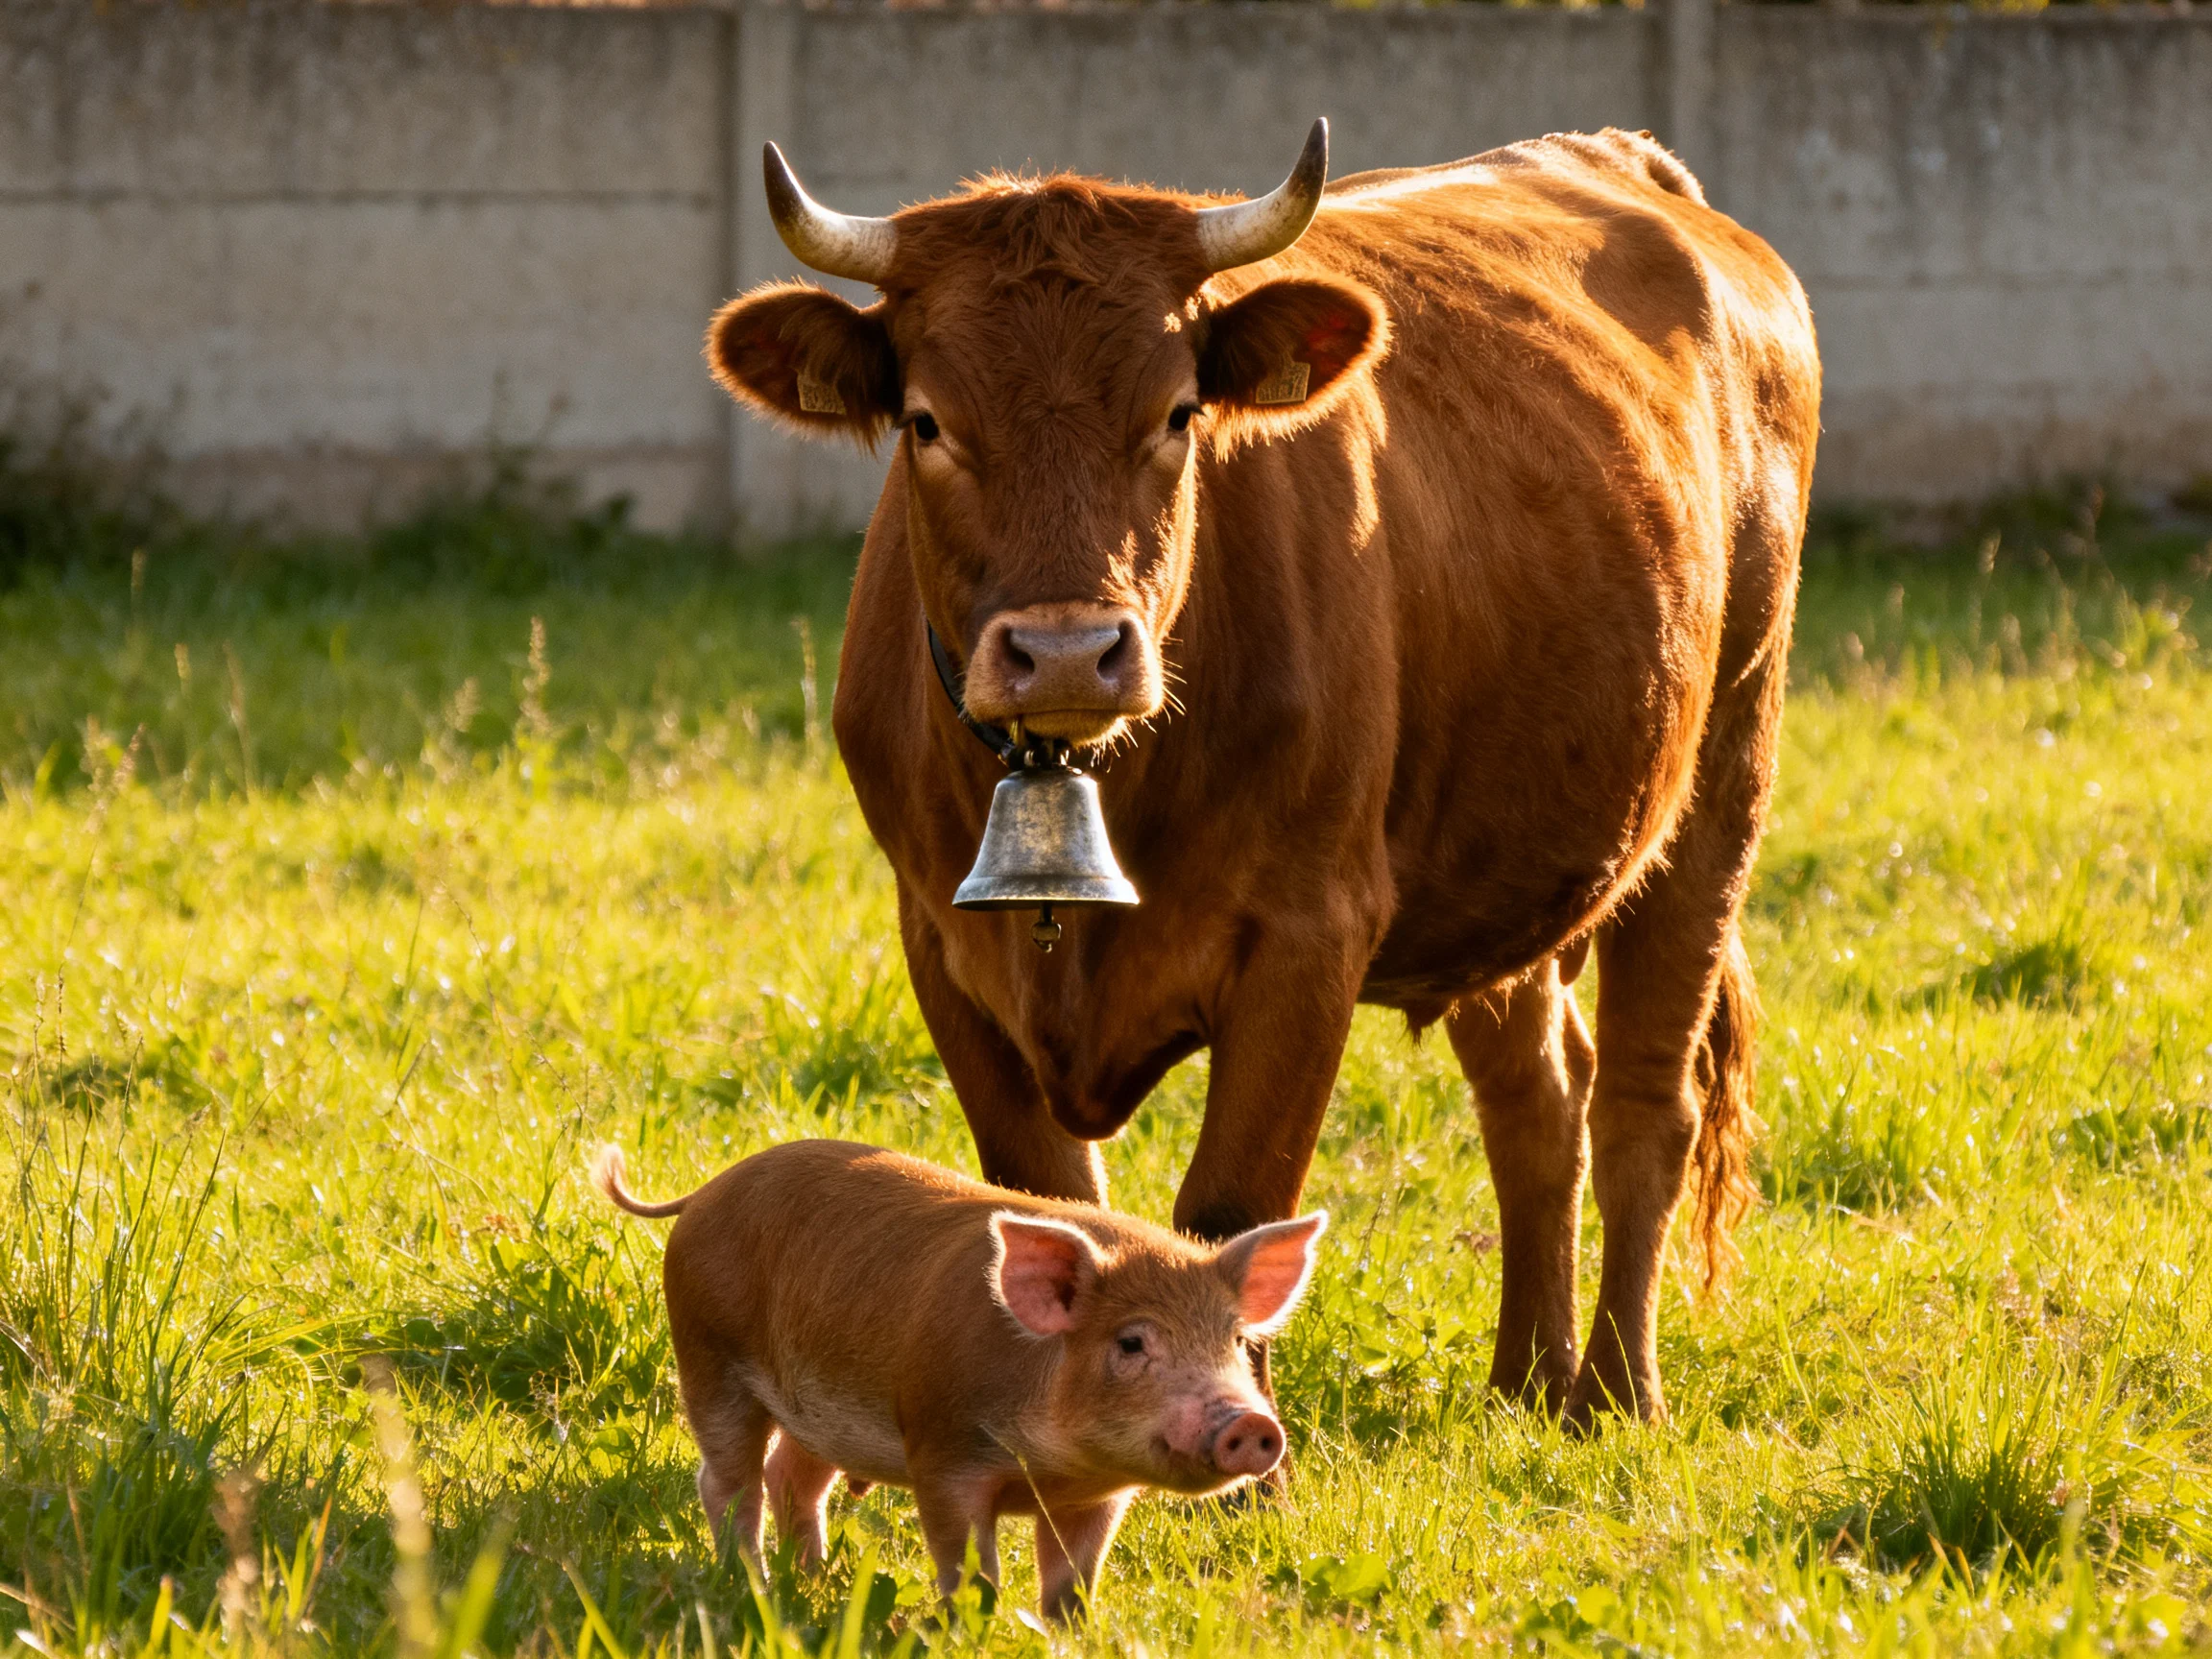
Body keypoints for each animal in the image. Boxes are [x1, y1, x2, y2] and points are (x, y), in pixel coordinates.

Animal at [591, 1138, 1325, 1620]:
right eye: (1132, 1342)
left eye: (1235, 1341)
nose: (1249, 1423)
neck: (1054, 1466)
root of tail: (709, 1189)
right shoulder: (941, 1451)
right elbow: (971, 1567)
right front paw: (969, 1627)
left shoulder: (1099, 1496)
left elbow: (1073, 1581)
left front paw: (1069, 1632)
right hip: (707, 1356)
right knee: (727, 1481)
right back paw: (753, 1585)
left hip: (815, 1410)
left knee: (791, 1478)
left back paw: (818, 1582)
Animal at [705, 119, 1819, 1425]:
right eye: (927, 422)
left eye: (1180, 411)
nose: (1067, 651)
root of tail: (1621, 162)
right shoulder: (941, 939)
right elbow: (1047, 1208)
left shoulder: (1308, 935)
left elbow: (1232, 1211)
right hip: (1510, 862)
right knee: (1539, 1104)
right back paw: (1525, 1384)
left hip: (1725, 773)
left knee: (1646, 1101)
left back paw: (1614, 1393)